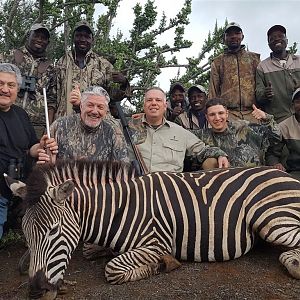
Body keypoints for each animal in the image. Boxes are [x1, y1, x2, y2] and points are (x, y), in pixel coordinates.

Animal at [5, 159, 300, 298]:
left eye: (53, 231)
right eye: (27, 235)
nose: (36, 290)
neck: (118, 208)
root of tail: (284, 173)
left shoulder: (156, 242)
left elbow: (112, 268)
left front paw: (162, 264)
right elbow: (93, 251)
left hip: (271, 218)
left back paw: (293, 264)